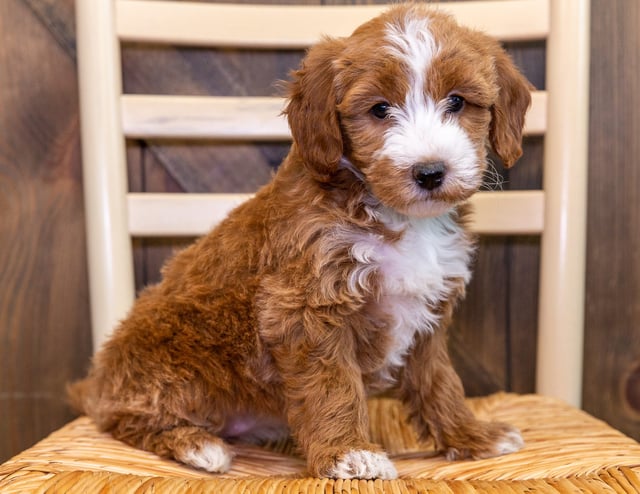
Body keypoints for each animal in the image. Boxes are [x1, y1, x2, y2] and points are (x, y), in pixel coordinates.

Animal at [70, 3, 532, 480]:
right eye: (380, 109)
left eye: (457, 101)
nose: (429, 172)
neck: (394, 214)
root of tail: (97, 382)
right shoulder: (305, 307)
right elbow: (332, 385)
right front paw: (349, 452)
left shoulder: (428, 315)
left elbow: (439, 380)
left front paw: (470, 436)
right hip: (163, 364)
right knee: (123, 418)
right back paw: (196, 445)